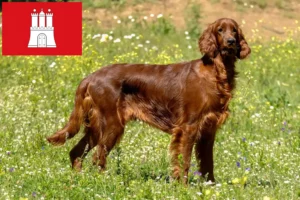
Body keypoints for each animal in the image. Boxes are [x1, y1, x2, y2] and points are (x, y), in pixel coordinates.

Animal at [48, 18, 251, 184]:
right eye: (220, 30)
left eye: (234, 30)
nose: (231, 42)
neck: (216, 72)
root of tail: (90, 77)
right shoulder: (189, 127)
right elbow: (184, 161)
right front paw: (184, 188)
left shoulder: (208, 129)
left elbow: (208, 164)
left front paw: (211, 188)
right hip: (112, 124)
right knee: (98, 156)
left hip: (96, 125)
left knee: (76, 152)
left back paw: (80, 180)